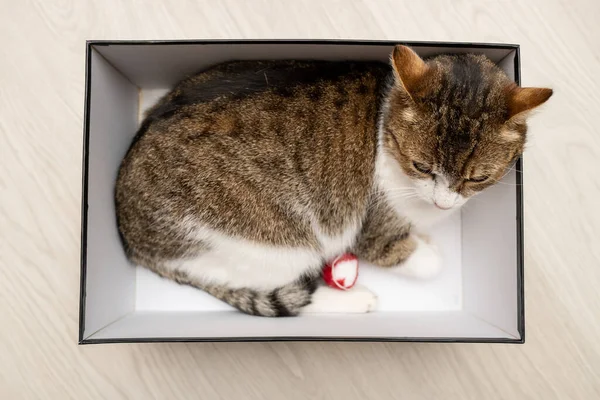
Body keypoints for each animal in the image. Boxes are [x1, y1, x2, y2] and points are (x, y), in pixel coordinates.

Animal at [115, 45, 552, 318]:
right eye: (420, 165)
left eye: (479, 177)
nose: (444, 203)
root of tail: (129, 235)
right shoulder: (372, 226)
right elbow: (412, 257)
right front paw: (427, 251)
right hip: (275, 245)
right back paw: (355, 302)